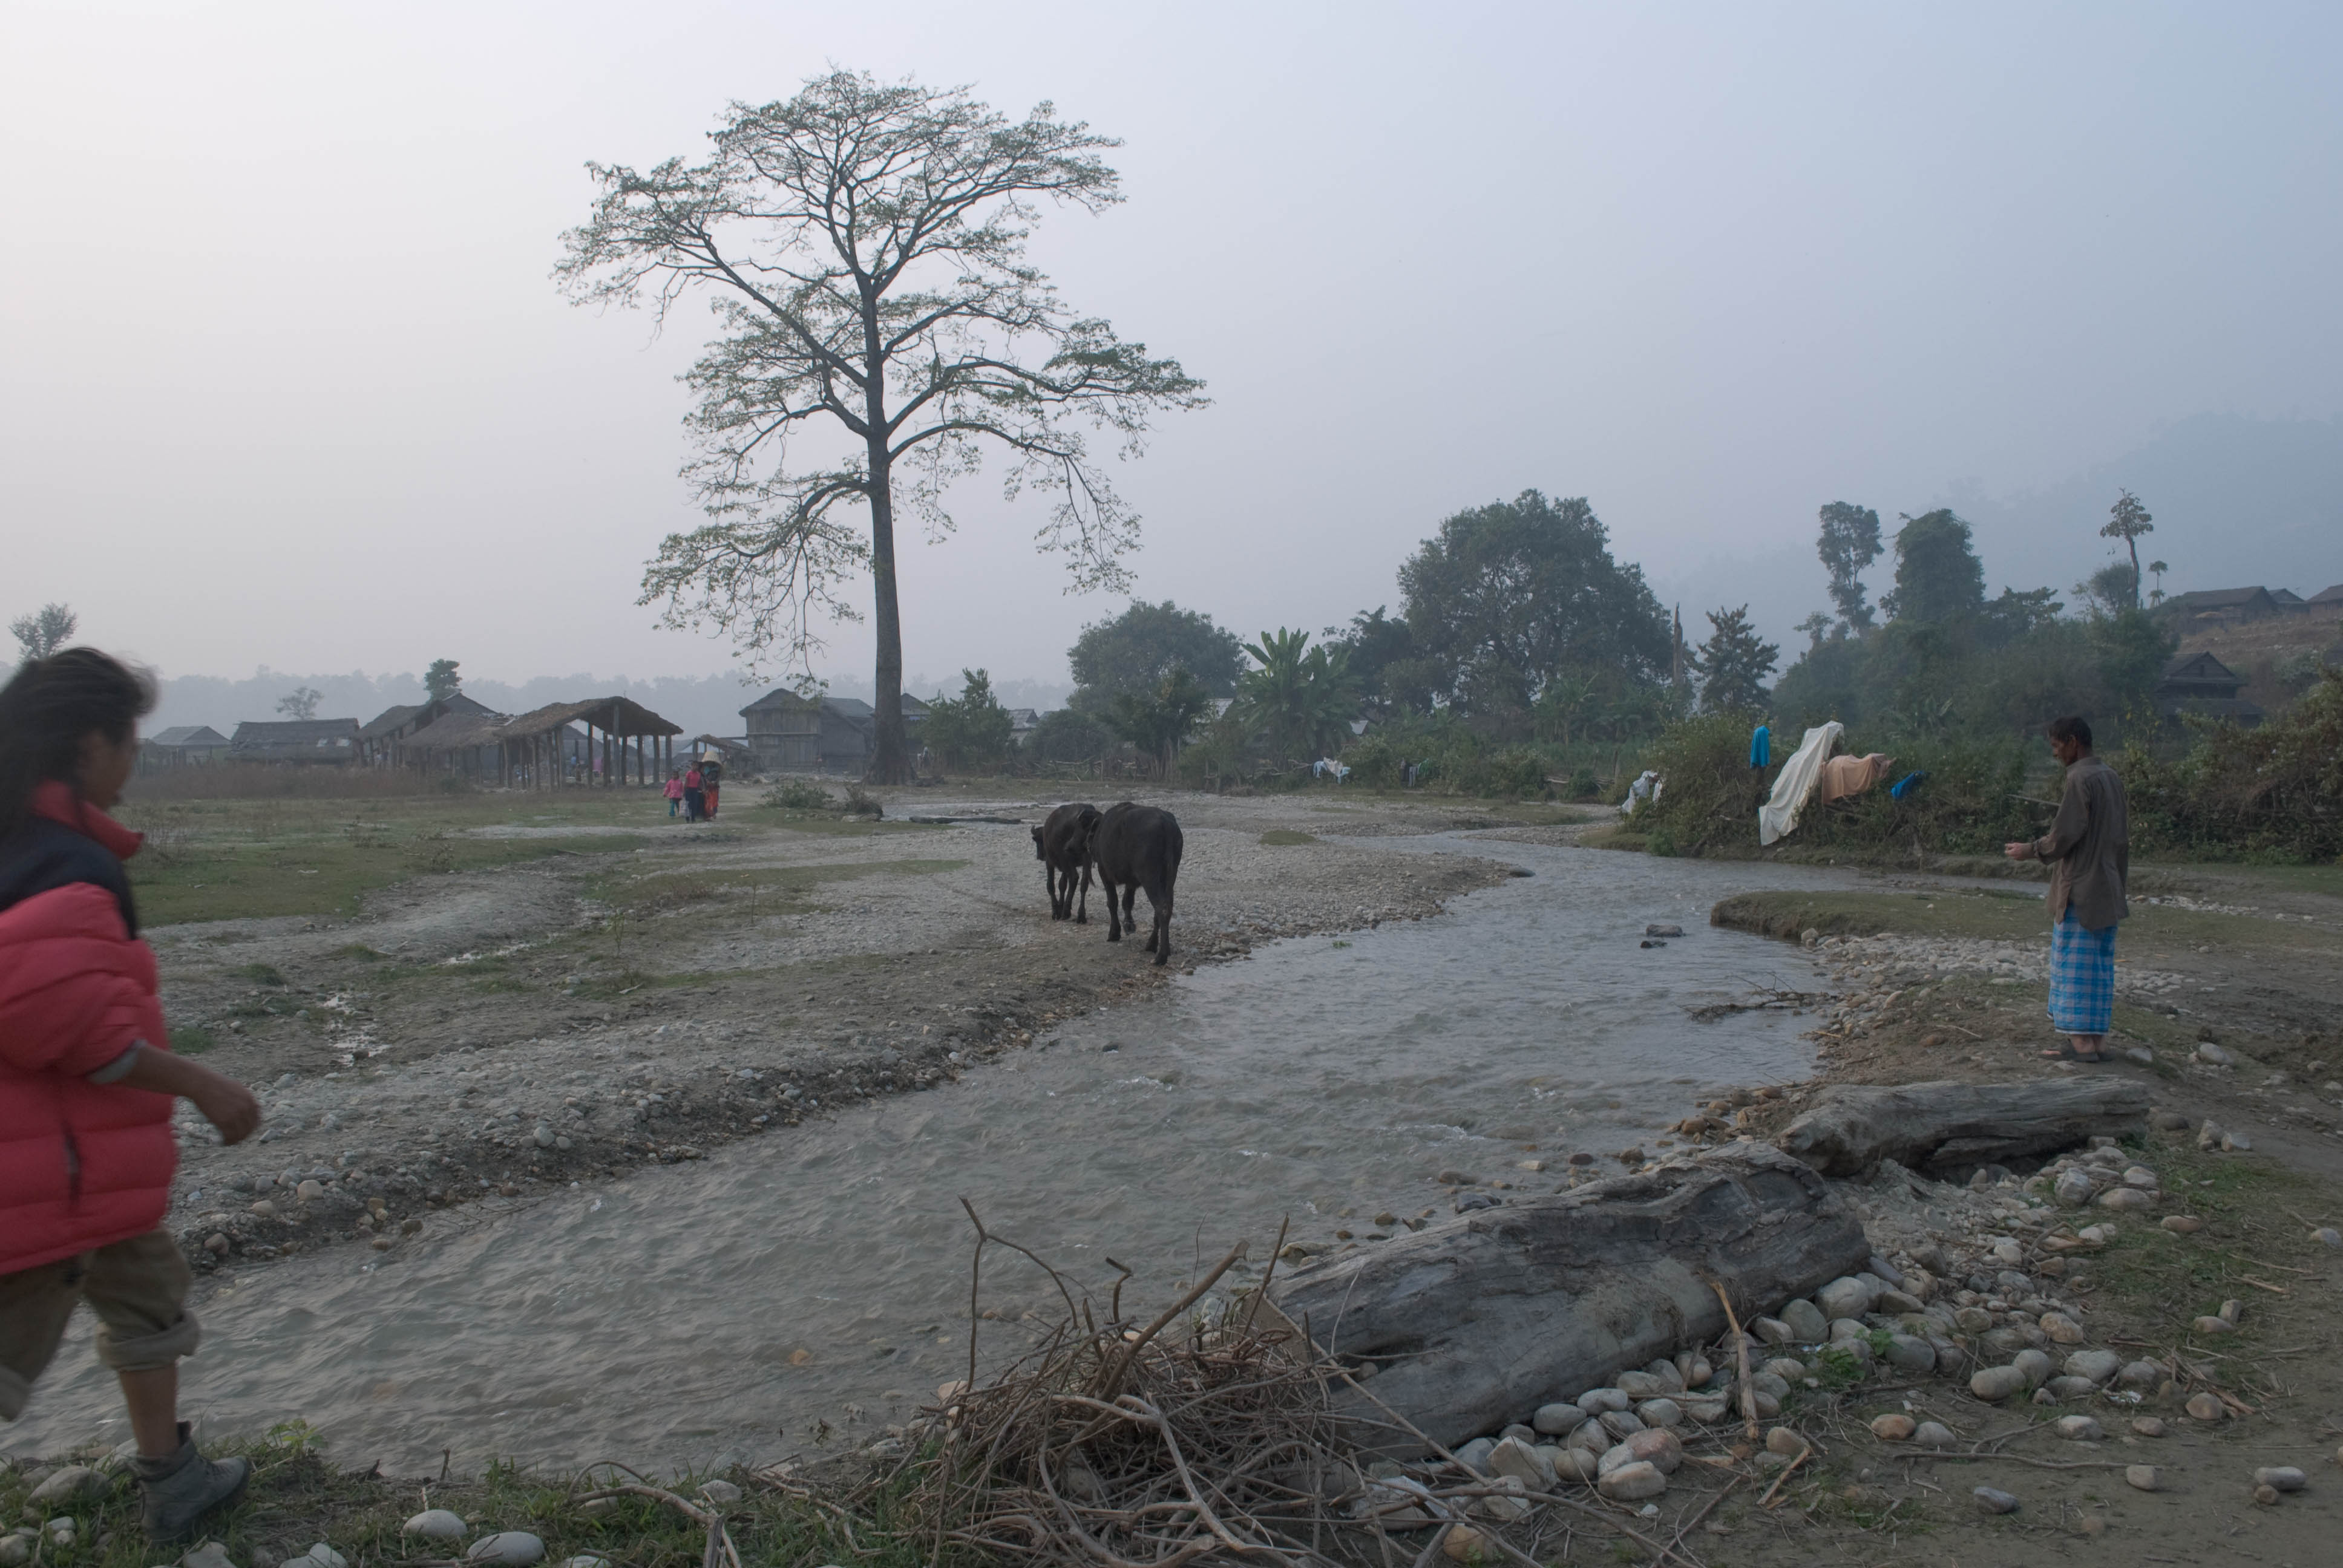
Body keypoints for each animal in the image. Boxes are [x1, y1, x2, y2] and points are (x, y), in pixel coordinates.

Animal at [1031, 806, 1101, 918]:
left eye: (1039, 841)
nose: (1040, 856)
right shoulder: (1065, 867)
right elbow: (1062, 885)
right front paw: (1060, 905)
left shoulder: (1050, 863)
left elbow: (1051, 886)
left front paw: (1056, 910)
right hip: (1086, 861)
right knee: (1084, 884)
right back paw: (1081, 915)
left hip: (1067, 858)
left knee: (1074, 878)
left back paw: (1066, 911)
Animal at [1082, 802, 1181, 961]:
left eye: (1090, 833)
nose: (1086, 844)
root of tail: (1165, 824)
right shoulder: (1131, 882)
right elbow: (1127, 902)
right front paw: (1129, 924)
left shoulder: (1104, 872)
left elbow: (1113, 902)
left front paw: (1114, 932)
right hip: (1170, 879)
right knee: (1166, 908)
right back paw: (1154, 945)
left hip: (1150, 878)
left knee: (1162, 908)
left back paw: (1161, 955)